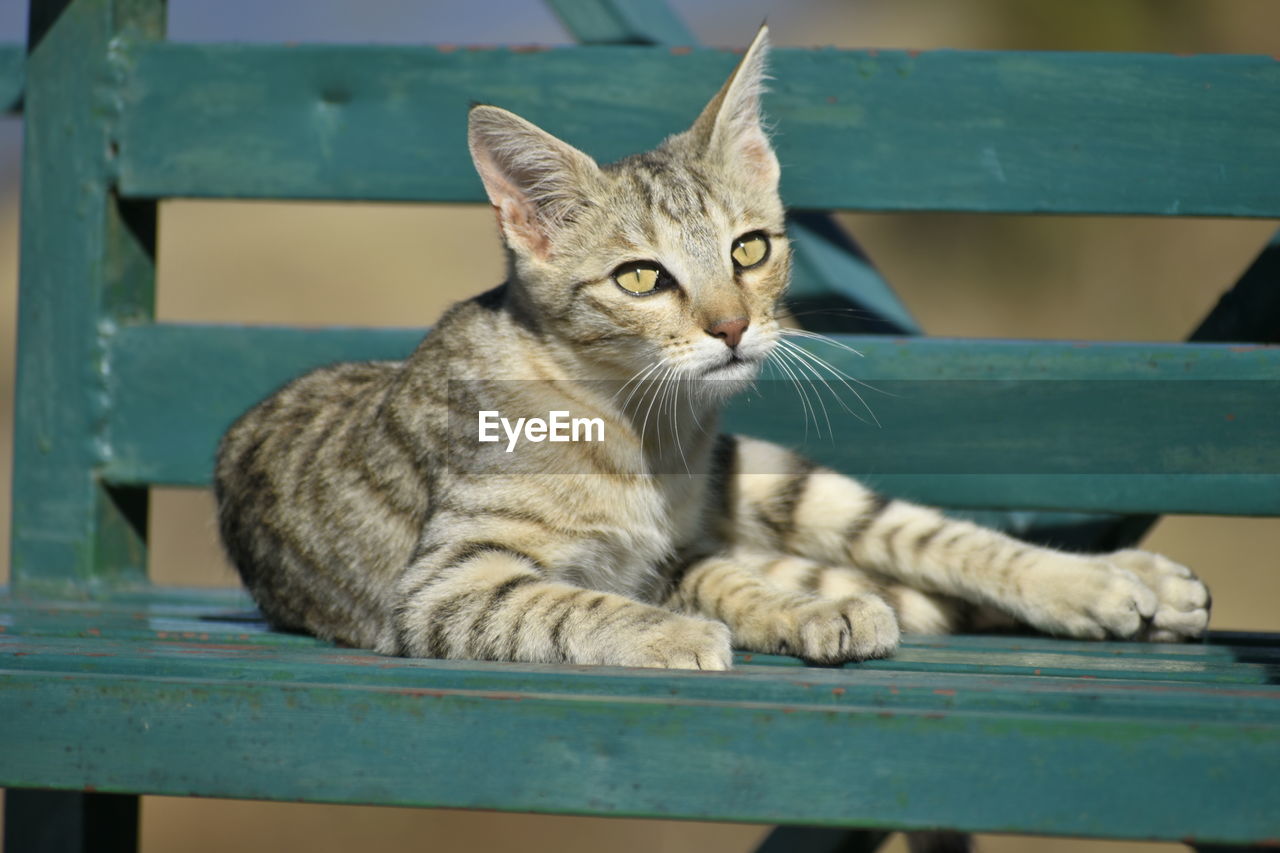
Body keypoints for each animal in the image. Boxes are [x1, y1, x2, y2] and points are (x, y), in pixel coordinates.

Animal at [212, 26, 1208, 666]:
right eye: (640, 277)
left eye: (750, 250)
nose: (731, 326)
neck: (635, 426)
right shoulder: (450, 584)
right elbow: (567, 600)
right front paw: (696, 629)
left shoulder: (673, 545)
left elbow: (707, 580)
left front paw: (785, 614)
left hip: (778, 478)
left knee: (924, 540)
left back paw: (1111, 581)